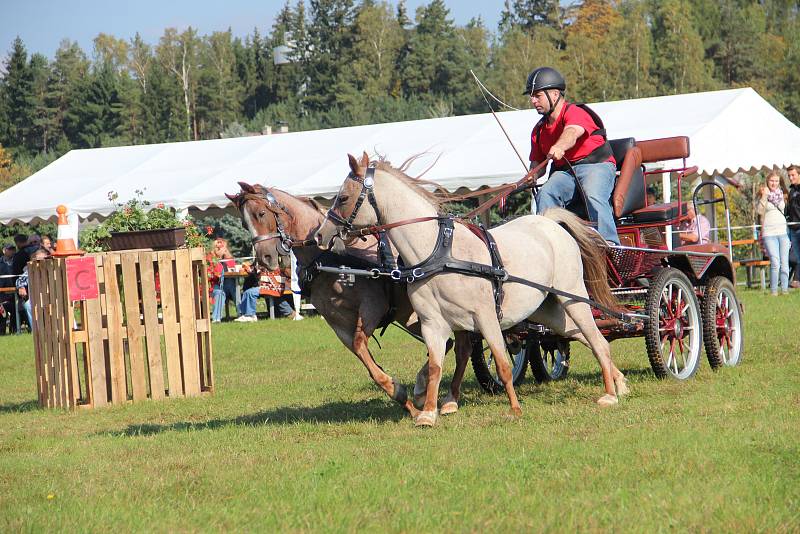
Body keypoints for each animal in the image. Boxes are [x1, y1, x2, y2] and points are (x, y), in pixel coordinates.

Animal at [225, 184, 476, 418]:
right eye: (244, 223)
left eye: (260, 213)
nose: (264, 258)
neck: (329, 257)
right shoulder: (338, 322)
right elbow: (362, 355)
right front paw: (405, 401)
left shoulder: (372, 306)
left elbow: (359, 343)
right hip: (410, 315)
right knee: (449, 344)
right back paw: (425, 387)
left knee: (462, 348)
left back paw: (450, 398)